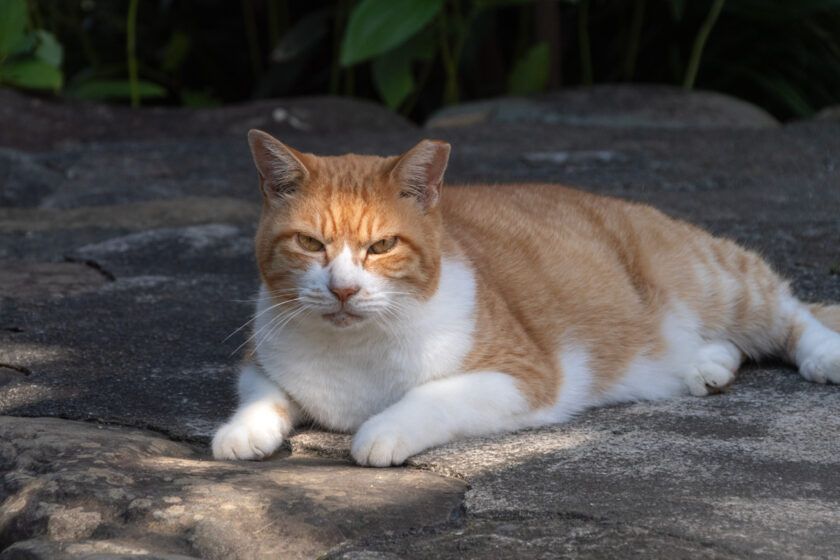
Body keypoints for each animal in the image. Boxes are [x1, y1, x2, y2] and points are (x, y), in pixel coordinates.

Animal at [212, 129, 840, 466]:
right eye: (310, 243)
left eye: (382, 246)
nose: (343, 289)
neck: (355, 348)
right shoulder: (262, 357)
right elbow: (263, 393)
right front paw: (243, 432)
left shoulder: (523, 376)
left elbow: (430, 397)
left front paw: (381, 431)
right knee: (729, 345)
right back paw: (707, 365)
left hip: (716, 282)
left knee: (790, 311)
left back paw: (822, 355)